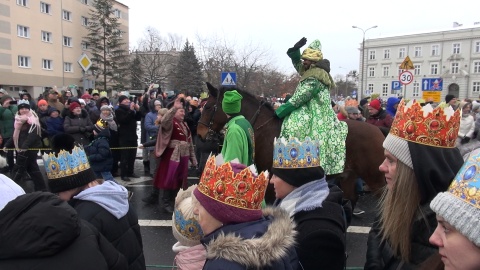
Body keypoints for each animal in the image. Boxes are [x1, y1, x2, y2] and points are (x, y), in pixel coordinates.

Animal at [198, 82, 386, 205]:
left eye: (207, 107)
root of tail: (379, 131)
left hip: (376, 180)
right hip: (348, 176)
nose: (200, 134)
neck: (265, 129)